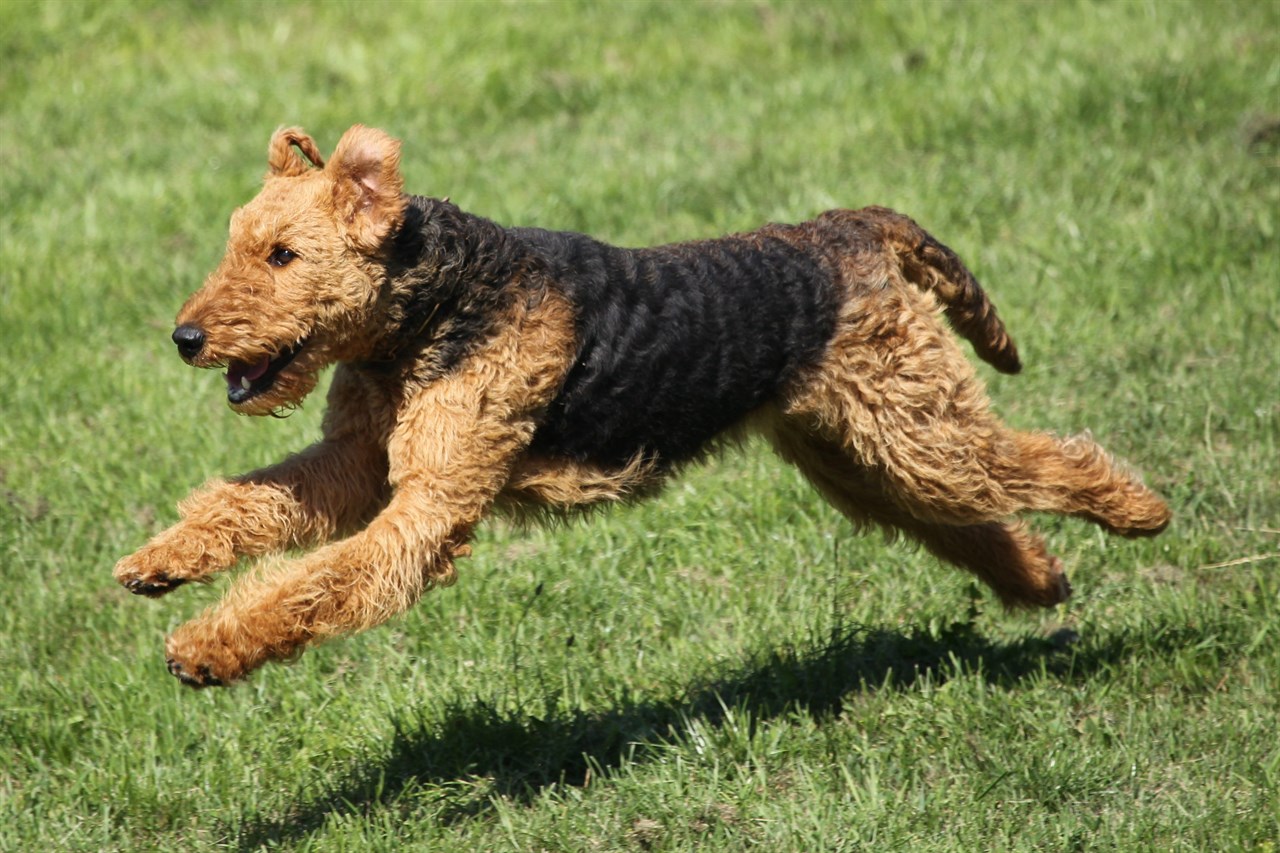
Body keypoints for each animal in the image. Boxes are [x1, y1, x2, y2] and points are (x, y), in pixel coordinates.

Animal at [112, 126, 1172, 686]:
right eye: (240, 243)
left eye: (282, 254)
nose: (186, 337)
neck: (430, 312)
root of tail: (849, 229)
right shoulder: (359, 467)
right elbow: (249, 503)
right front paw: (158, 563)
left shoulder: (425, 507)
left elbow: (315, 581)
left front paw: (205, 646)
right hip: (865, 458)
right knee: (975, 518)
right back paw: (1043, 582)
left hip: (917, 431)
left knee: (1046, 459)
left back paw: (1142, 510)